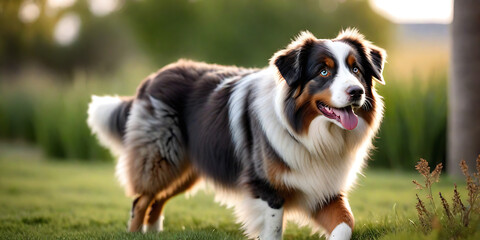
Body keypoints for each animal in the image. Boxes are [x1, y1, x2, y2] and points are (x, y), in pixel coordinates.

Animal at [87, 29, 386, 239]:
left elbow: (346, 223)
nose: (356, 92)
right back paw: (136, 233)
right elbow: (273, 229)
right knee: (142, 199)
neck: (313, 135)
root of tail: (153, 77)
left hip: (187, 168)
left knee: (157, 199)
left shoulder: (322, 187)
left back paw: (154, 233)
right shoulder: (266, 186)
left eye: (356, 69)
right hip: (162, 157)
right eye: (323, 71)